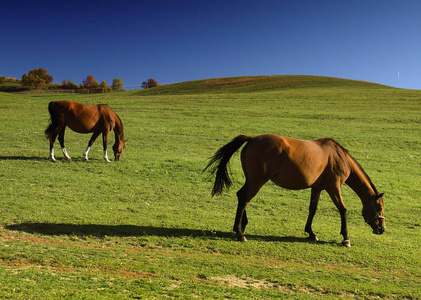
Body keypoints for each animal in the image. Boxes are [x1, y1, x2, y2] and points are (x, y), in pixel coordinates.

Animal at [203, 135, 384, 247]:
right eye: (380, 207)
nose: (382, 229)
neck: (339, 157)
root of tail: (252, 139)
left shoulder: (317, 188)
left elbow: (312, 209)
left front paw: (311, 232)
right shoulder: (333, 187)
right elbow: (342, 210)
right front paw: (345, 238)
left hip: (252, 180)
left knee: (242, 196)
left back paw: (242, 225)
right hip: (257, 180)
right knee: (244, 197)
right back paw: (240, 232)